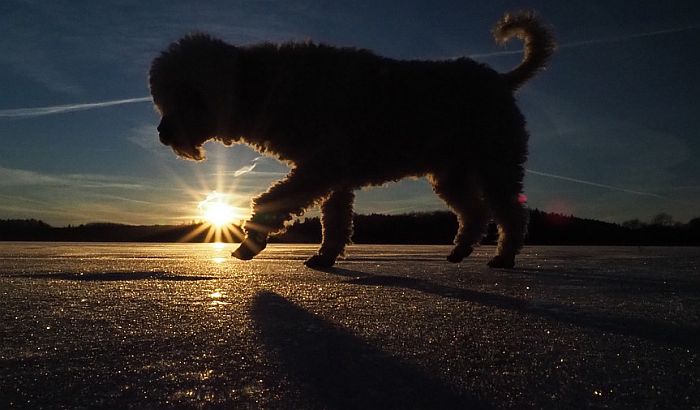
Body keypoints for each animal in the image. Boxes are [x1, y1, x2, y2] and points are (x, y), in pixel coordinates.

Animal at [150, 11, 556, 270]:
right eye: (163, 97)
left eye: (186, 95)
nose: (162, 133)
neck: (271, 86)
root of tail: (502, 81)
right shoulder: (334, 176)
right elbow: (336, 221)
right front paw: (325, 257)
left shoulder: (323, 163)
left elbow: (276, 200)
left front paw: (251, 241)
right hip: (450, 173)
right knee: (476, 212)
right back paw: (460, 250)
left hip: (496, 163)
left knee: (511, 212)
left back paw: (504, 257)